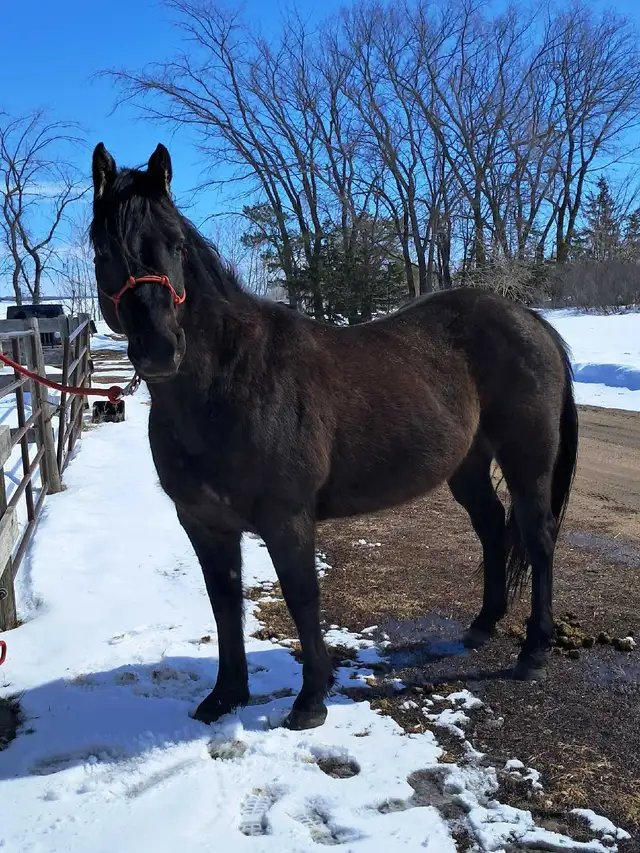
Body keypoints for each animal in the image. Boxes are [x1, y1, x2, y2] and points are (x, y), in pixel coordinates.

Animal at [90, 143, 578, 731]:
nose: (161, 349)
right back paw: (482, 625)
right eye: (102, 247)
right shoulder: (204, 524)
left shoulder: (287, 519)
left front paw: (311, 701)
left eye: (177, 245)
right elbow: (224, 604)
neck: (230, 382)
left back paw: (533, 653)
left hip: (527, 457)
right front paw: (225, 697)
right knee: (491, 527)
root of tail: (530, 319)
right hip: (468, 464)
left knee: (537, 536)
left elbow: (303, 599)